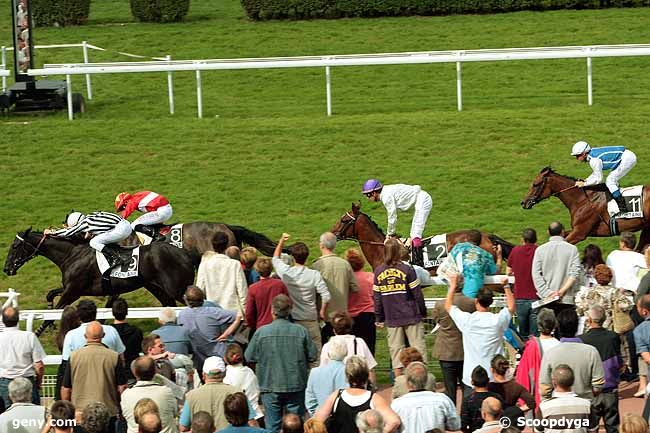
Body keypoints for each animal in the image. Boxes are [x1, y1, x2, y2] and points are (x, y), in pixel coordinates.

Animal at [3, 228, 194, 336]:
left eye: (14, 246)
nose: (6, 269)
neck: (72, 254)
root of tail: (184, 253)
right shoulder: (71, 288)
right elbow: (51, 295)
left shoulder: (73, 291)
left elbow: (55, 312)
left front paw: (37, 333)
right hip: (156, 287)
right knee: (170, 306)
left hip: (177, 287)